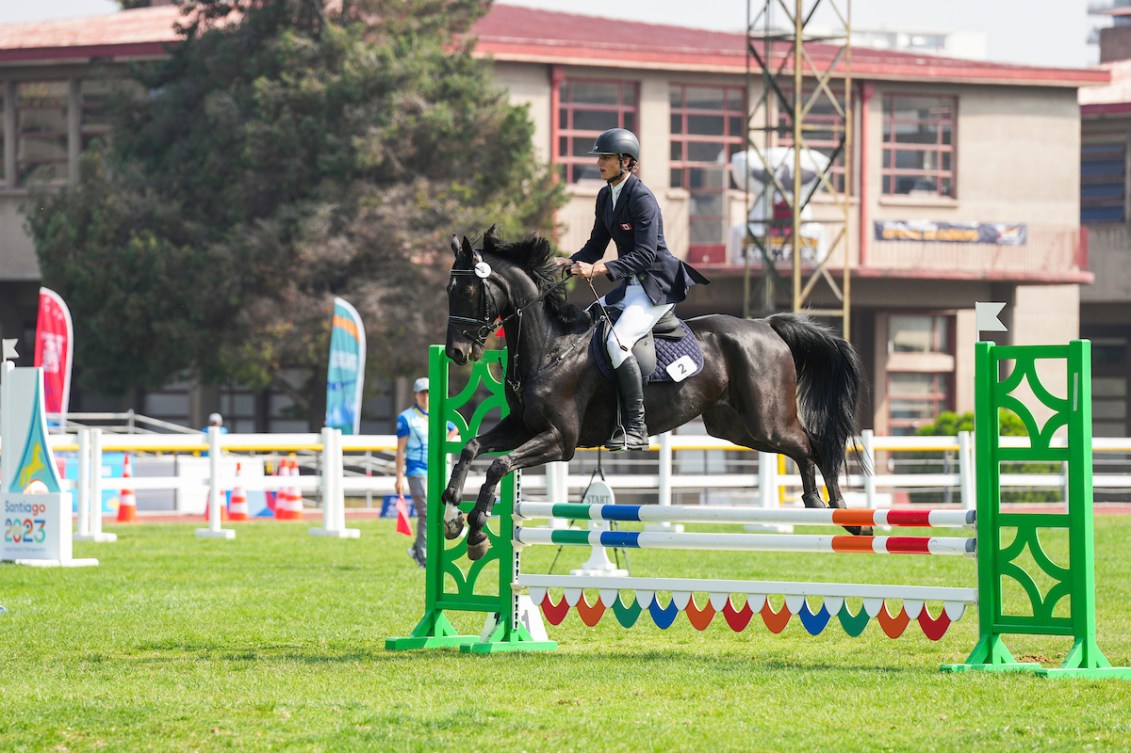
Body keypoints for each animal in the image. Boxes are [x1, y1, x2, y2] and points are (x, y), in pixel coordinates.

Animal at [441, 227, 864, 556]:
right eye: (450, 289)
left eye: (468, 290)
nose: (456, 352)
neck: (551, 347)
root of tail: (767, 325)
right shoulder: (522, 426)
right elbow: (473, 448)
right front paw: (452, 515)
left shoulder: (560, 440)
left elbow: (498, 464)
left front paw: (477, 528)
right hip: (736, 428)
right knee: (803, 447)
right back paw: (817, 502)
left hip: (767, 420)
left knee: (813, 444)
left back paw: (843, 512)